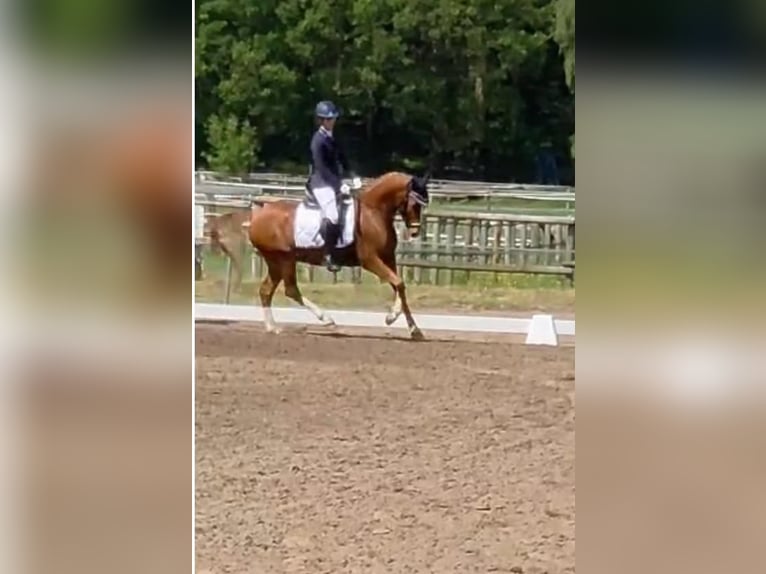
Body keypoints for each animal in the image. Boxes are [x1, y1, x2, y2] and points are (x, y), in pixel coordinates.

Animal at [248, 171, 431, 340]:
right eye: (414, 203)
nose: (415, 232)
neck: (373, 213)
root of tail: (257, 216)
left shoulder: (388, 258)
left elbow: (399, 286)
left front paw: (414, 330)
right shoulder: (370, 260)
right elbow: (398, 283)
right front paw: (391, 317)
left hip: (275, 261)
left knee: (266, 290)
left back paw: (272, 327)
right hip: (284, 258)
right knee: (290, 290)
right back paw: (326, 319)